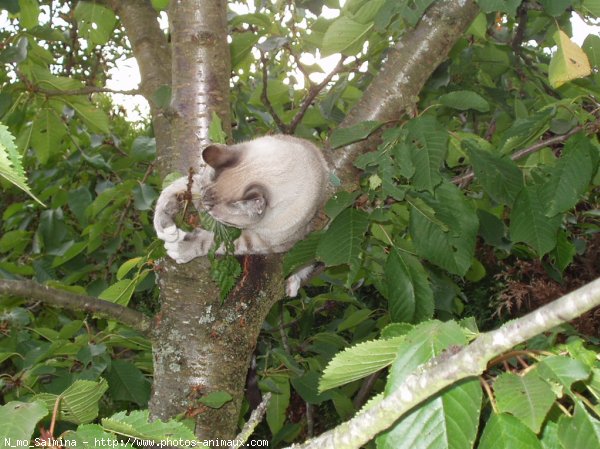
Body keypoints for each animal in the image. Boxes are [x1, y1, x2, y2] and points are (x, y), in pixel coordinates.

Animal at [154, 136, 328, 298]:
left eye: (216, 216)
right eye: (202, 197)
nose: (200, 209)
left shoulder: (266, 241)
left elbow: (221, 242)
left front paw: (180, 248)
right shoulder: (198, 183)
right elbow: (175, 189)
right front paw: (165, 227)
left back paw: (292, 284)